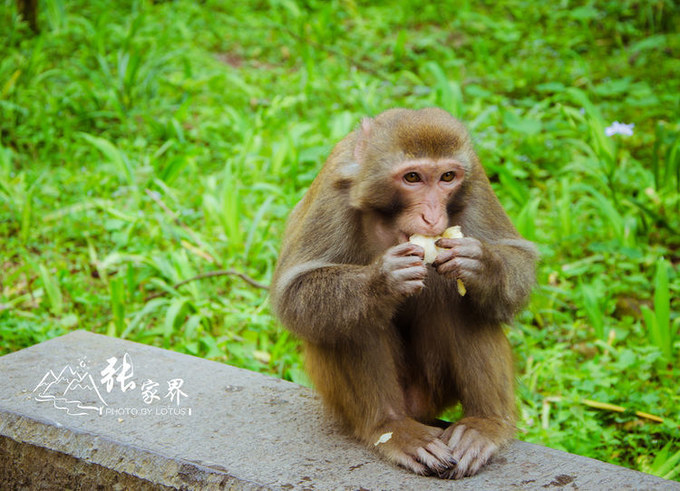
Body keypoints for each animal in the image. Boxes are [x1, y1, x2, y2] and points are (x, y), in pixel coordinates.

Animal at [270, 107, 536, 480]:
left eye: (447, 177)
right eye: (412, 178)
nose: (433, 216)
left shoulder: (476, 180)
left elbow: (519, 261)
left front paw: (480, 264)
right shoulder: (333, 191)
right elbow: (294, 294)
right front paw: (383, 281)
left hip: (433, 387)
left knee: (461, 301)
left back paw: (484, 424)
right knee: (354, 319)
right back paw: (392, 427)